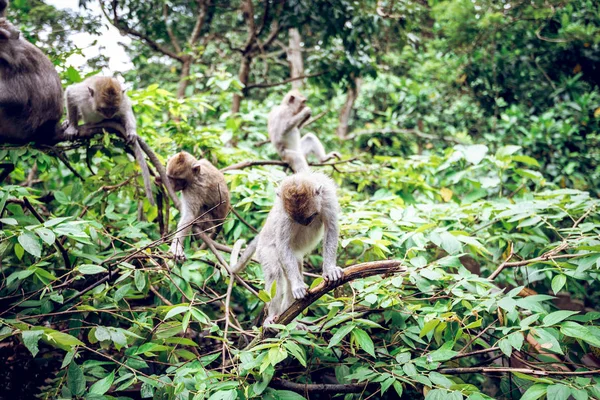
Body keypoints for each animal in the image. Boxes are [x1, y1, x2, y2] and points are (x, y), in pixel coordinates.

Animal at [230, 171, 342, 328]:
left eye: (310, 217)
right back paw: (273, 316)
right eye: (297, 220)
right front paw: (297, 286)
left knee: (294, 270)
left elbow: (331, 229)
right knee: (275, 272)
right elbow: (283, 244)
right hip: (265, 249)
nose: (305, 224)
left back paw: (291, 320)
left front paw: (330, 270)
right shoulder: (285, 215)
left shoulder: (328, 198)